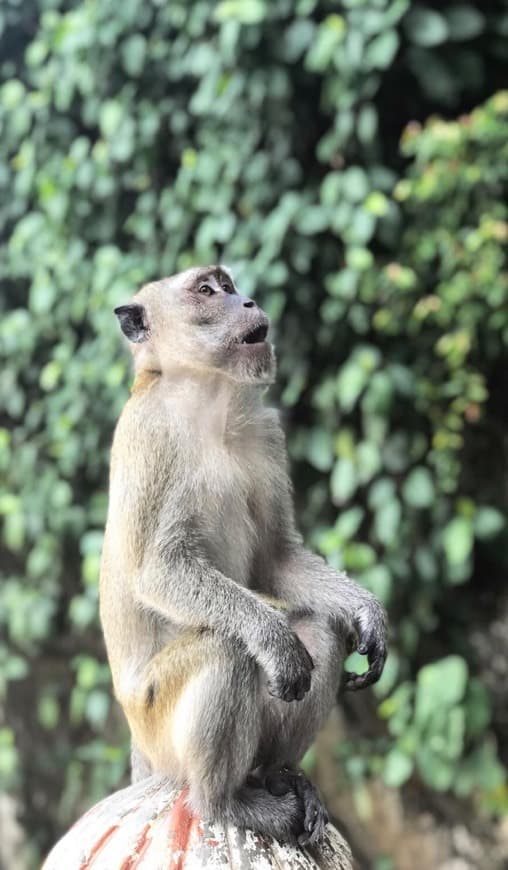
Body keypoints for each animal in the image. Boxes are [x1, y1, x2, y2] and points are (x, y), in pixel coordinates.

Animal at [98, 264, 384, 844]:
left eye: (228, 286)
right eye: (207, 291)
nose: (247, 300)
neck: (208, 401)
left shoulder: (266, 432)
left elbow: (277, 559)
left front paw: (367, 612)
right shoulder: (152, 434)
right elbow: (158, 572)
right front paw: (271, 636)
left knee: (320, 628)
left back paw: (278, 774)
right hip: (159, 723)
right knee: (226, 651)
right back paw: (224, 803)